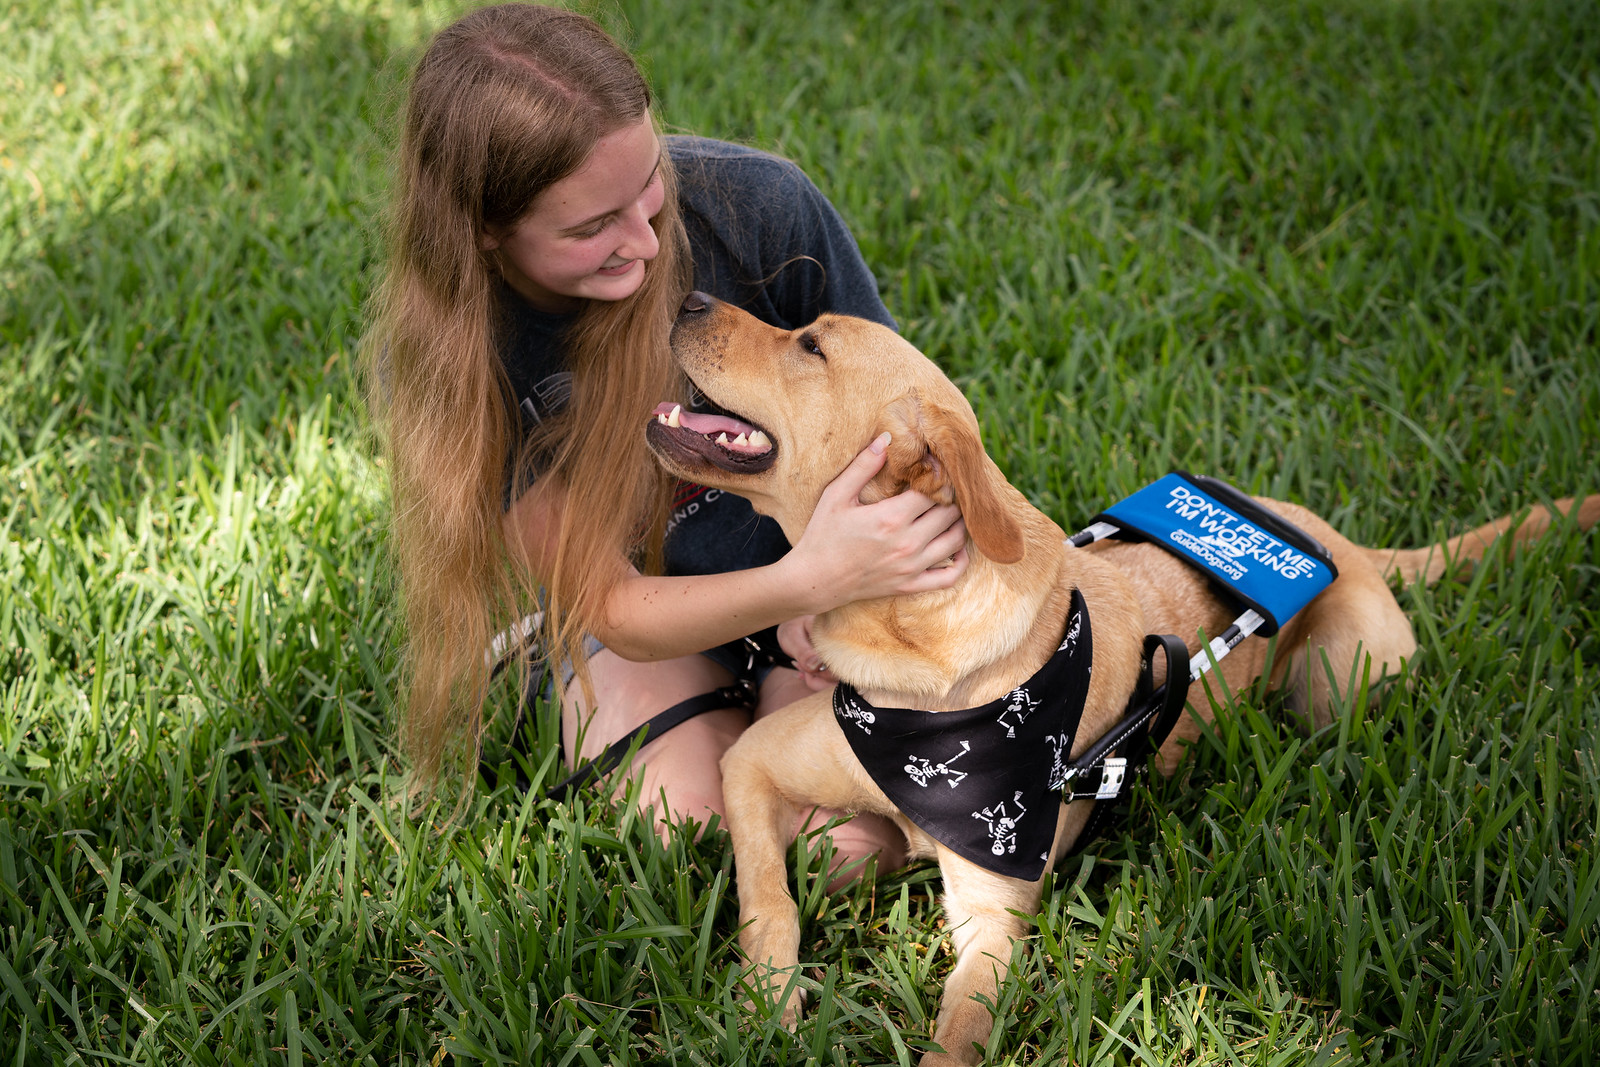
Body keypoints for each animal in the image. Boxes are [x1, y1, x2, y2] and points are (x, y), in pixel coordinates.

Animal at [643, 292, 1593, 1067]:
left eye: (810, 344)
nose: (686, 295)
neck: (918, 648)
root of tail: (1327, 534)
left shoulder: (994, 922)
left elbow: (957, 1035)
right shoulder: (751, 765)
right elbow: (768, 897)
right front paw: (766, 1005)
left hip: (1339, 677)